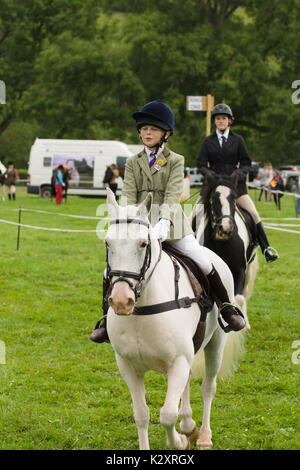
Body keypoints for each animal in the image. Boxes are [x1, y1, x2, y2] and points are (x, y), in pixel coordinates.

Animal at [103, 189, 246, 450]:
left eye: (143, 243)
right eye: (108, 243)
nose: (120, 301)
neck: (142, 311)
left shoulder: (178, 361)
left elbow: (167, 414)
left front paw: (179, 442)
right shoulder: (128, 366)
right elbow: (141, 414)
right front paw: (181, 433)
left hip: (215, 343)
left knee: (208, 387)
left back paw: (204, 436)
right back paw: (188, 424)